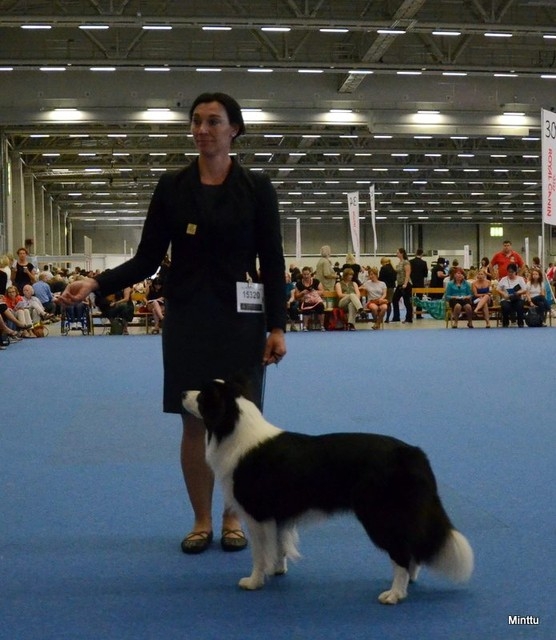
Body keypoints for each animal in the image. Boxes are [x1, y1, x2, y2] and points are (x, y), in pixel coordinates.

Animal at [182, 379, 473, 604]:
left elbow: (259, 552)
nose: (183, 393)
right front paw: (278, 570)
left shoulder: (257, 514)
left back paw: (394, 594)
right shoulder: (279, 515)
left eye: (204, 395)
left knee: (401, 552)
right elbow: (279, 544)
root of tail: (414, 454)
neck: (233, 429)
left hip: (380, 514)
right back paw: (408, 582)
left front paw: (253, 581)